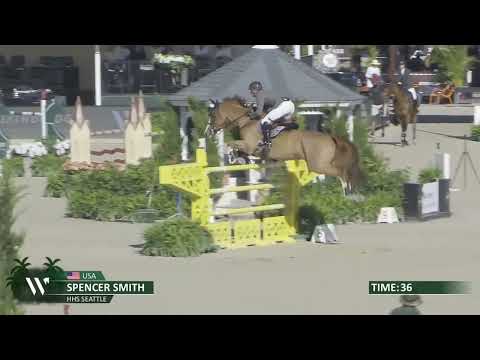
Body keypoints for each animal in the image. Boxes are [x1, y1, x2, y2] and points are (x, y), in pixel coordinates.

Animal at [206, 96, 364, 194]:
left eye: (213, 115)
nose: (208, 132)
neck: (245, 121)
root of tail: (330, 137)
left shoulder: (250, 146)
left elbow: (229, 144)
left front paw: (232, 156)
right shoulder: (250, 149)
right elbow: (238, 150)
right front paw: (238, 158)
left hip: (318, 165)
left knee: (340, 172)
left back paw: (346, 190)